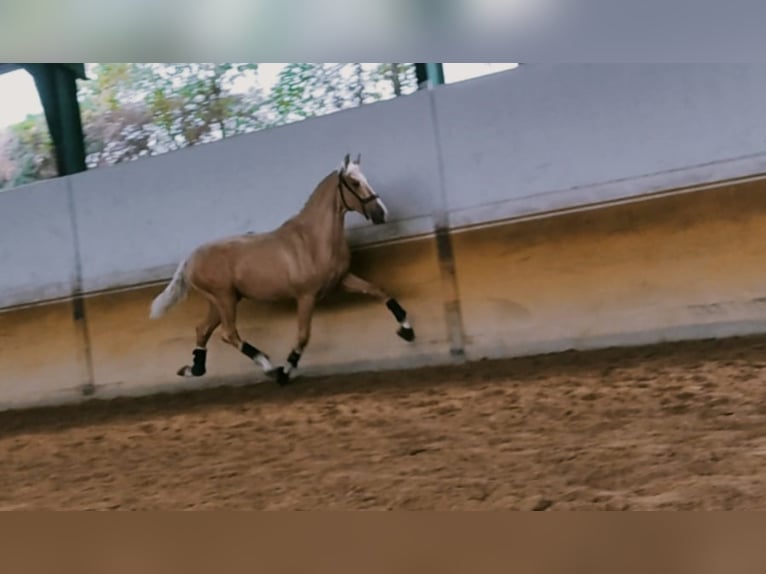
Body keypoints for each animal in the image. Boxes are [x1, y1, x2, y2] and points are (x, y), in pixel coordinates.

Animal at [148, 153, 416, 388]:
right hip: (224, 299)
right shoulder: (306, 296)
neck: (314, 239)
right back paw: (270, 368)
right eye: (354, 182)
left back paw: (193, 370)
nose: (381, 213)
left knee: (203, 330)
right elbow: (303, 336)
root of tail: (190, 258)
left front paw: (407, 331)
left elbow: (379, 290)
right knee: (228, 333)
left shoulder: (342, 280)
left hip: (221, 300)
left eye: (364, 178)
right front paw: (286, 371)